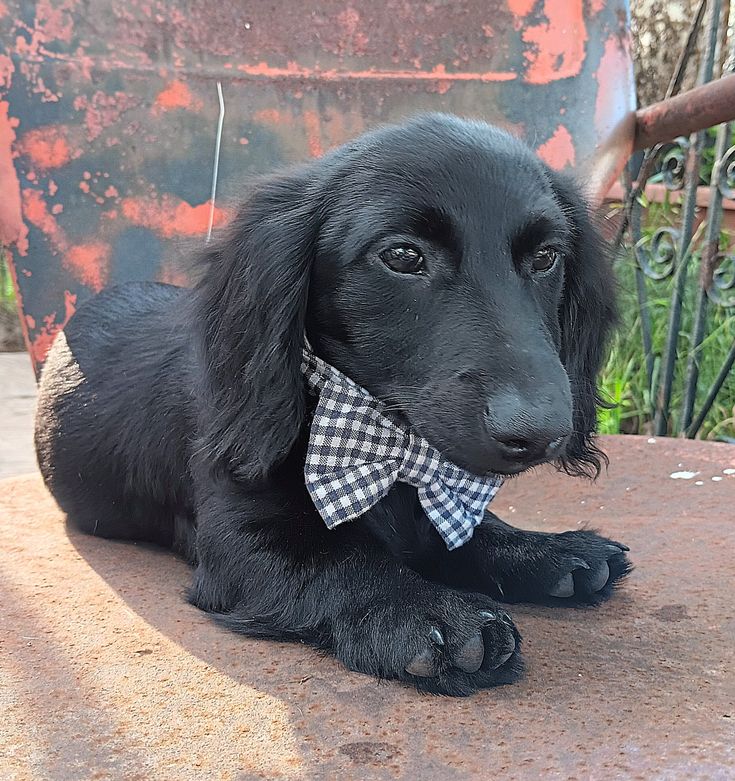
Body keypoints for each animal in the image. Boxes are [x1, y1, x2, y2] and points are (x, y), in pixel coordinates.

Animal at [34, 114, 628, 696]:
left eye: (547, 257)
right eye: (402, 256)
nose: (542, 431)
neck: (390, 444)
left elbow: (469, 532)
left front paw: (545, 550)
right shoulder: (242, 539)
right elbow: (343, 561)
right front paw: (430, 613)